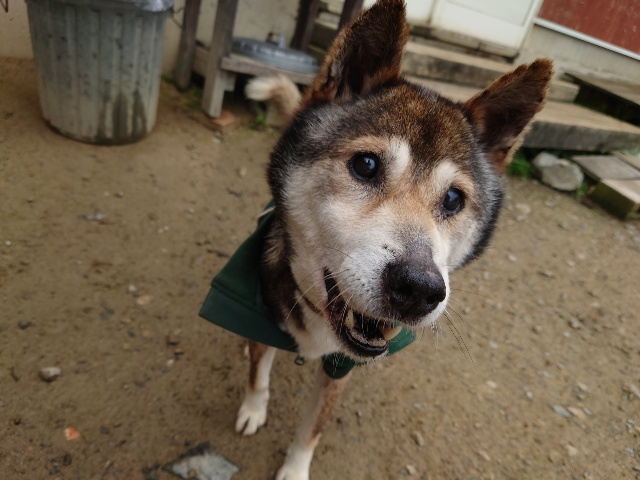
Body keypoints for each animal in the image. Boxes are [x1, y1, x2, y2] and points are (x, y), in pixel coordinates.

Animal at [204, 1, 552, 478]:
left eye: (454, 199)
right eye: (366, 165)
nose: (419, 289)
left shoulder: (343, 366)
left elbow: (312, 428)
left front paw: (295, 469)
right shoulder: (261, 311)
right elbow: (259, 374)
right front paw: (254, 409)